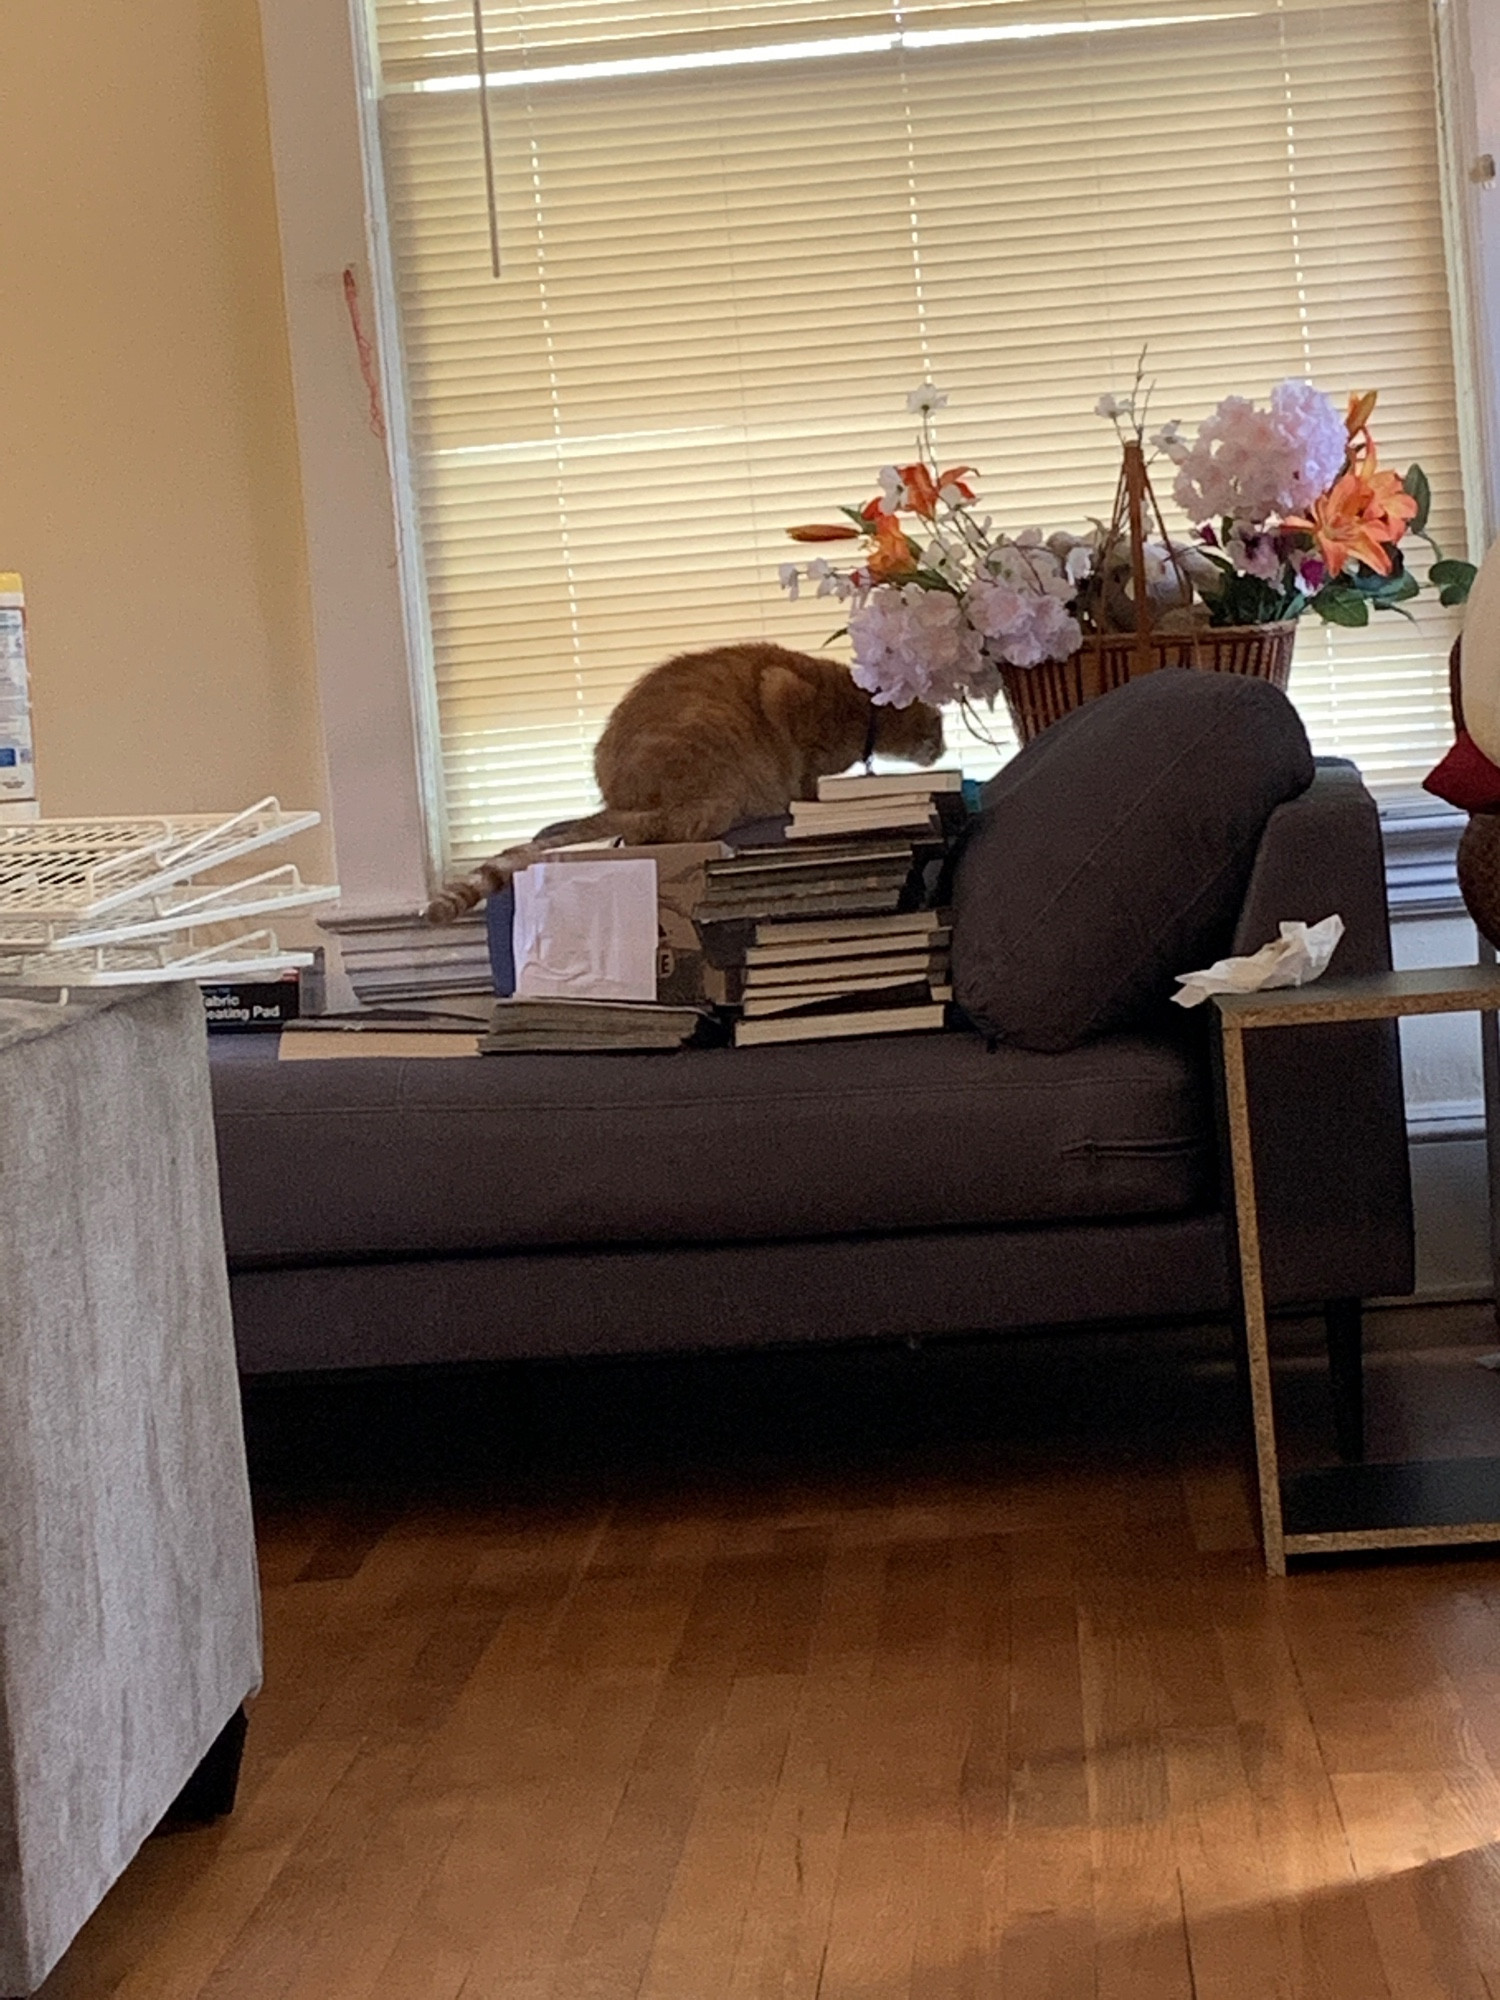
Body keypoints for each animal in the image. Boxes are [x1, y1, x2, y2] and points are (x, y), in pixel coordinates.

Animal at [424, 640, 940, 920]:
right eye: (936, 725)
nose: (945, 746)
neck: (860, 705)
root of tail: (617, 798)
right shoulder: (781, 693)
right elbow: (803, 778)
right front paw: (807, 797)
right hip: (713, 786)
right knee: (657, 830)